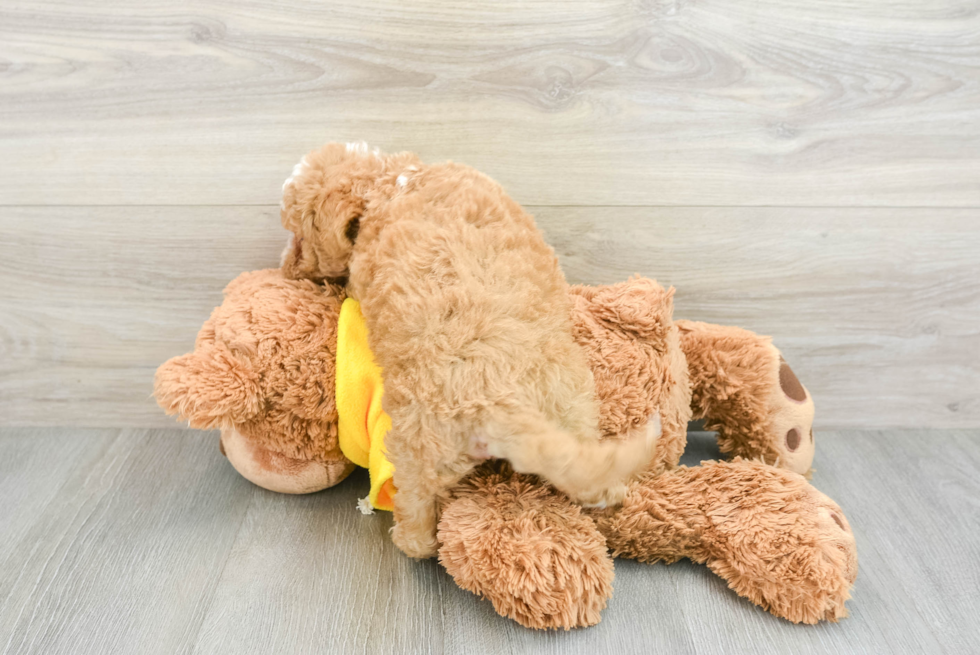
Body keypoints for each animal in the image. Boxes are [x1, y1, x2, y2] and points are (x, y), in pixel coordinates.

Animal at [280, 144, 660, 560]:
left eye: (298, 232)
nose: (287, 269)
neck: (391, 180)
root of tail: (502, 403)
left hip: (419, 446)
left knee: (415, 501)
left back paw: (412, 540)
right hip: (572, 402)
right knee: (584, 462)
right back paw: (606, 493)